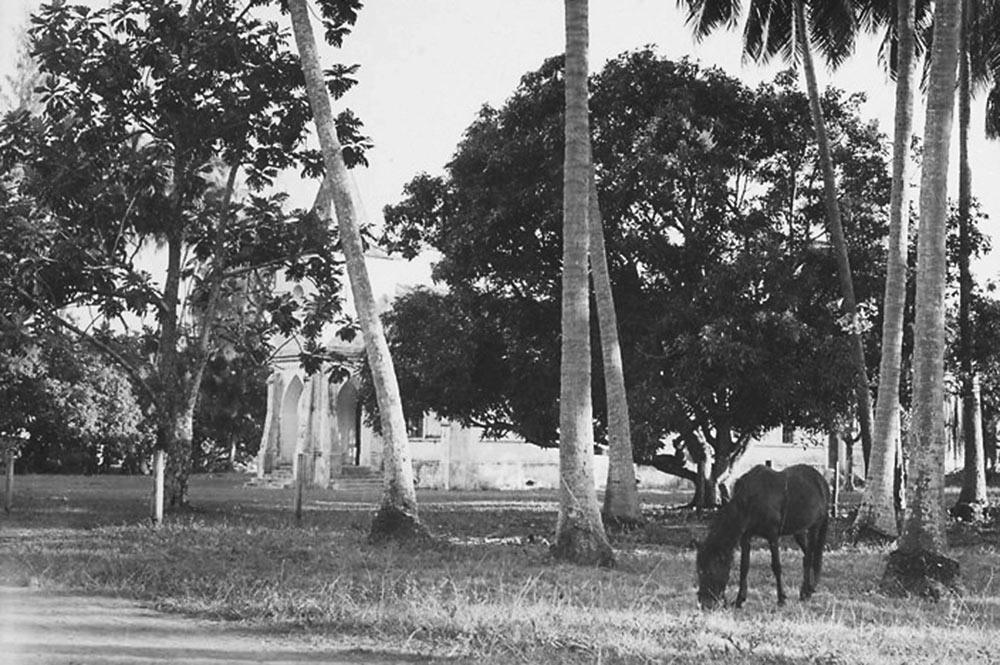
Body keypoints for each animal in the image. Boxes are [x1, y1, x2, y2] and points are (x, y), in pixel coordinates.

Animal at [696, 464, 828, 608]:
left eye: (710, 571)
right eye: (699, 570)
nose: (705, 603)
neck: (751, 499)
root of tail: (821, 480)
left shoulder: (773, 536)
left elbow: (776, 566)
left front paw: (781, 599)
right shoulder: (746, 536)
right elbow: (744, 566)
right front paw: (739, 599)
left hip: (815, 527)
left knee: (809, 557)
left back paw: (804, 593)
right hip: (798, 531)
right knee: (809, 555)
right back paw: (810, 588)